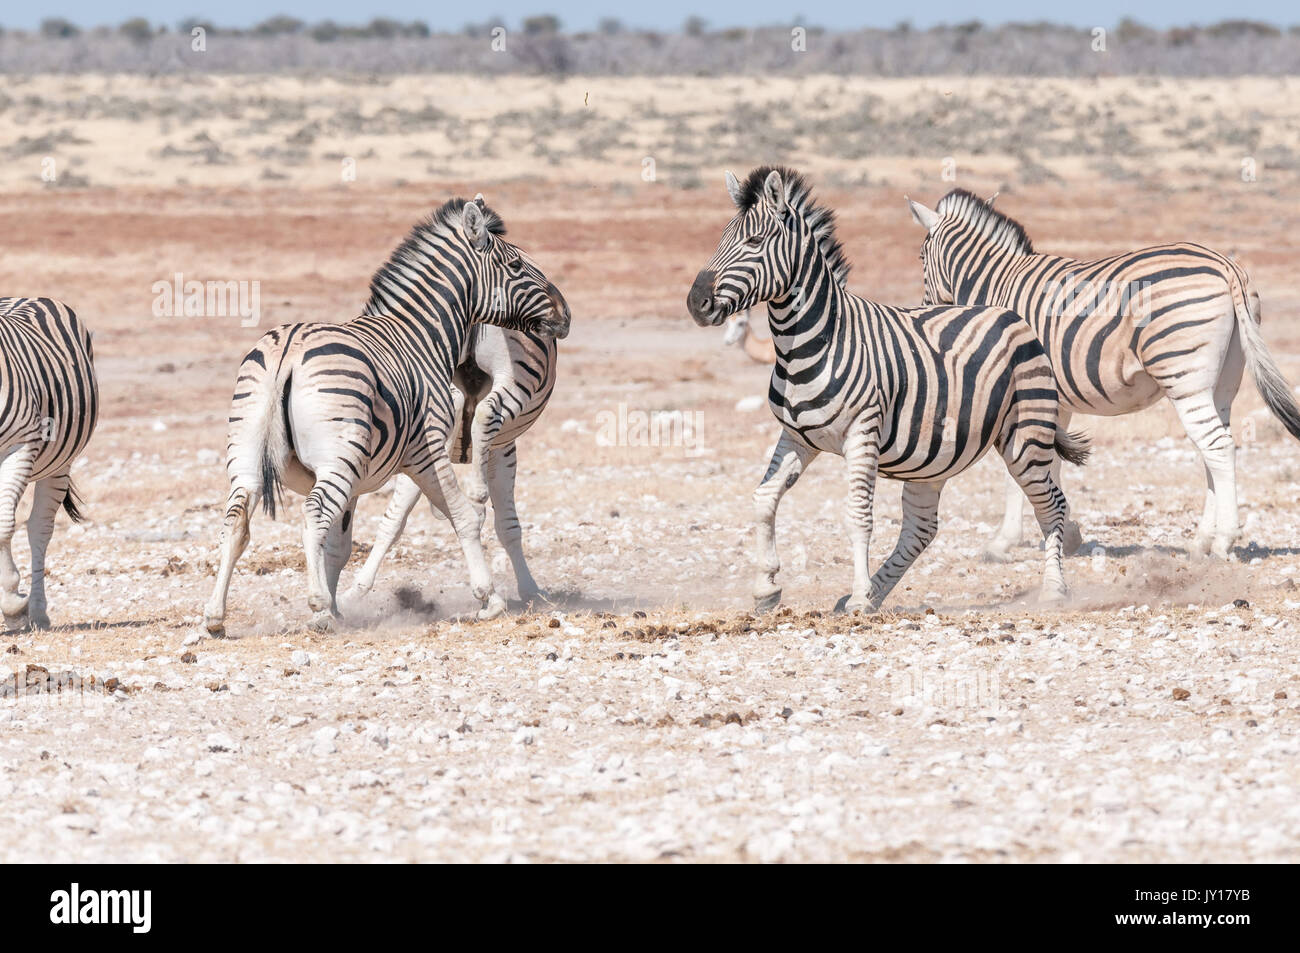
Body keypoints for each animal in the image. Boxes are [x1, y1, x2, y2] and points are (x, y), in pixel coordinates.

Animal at [0, 293, 97, 629]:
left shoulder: (20, 446)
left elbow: (4, 524)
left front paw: (11, 603)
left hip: (60, 464)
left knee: (39, 528)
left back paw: (37, 613)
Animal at [343, 319, 556, 603]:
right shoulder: (503, 448)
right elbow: (509, 525)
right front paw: (529, 588)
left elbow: (394, 519)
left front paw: (357, 588)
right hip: (517, 373)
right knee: (482, 410)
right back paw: (476, 497)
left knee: (457, 403)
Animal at [686, 167, 1092, 613]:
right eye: (722, 237)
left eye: (754, 242)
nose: (696, 302)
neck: (813, 342)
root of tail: (1010, 314)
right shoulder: (797, 437)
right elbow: (764, 499)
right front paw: (767, 587)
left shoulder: (862, 432)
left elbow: (858, 515)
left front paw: (860, 595)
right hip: (934, 456)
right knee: (920, 529)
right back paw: (877, 591)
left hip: (1025, 436)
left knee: (1051, 505)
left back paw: (1054, 589)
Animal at [904, 188, 1300, 556]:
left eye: (921, 257)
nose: (927, 309)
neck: (996, 283)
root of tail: (1224, 265)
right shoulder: (1054, 399)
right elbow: (1050, 466)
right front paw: (1064, 532)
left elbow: (1020, 468)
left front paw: (1006, 541)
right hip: (1223, 383)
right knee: (1214, 449)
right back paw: (1201, 540)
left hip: (1183, 373)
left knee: (1217, 446)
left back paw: (1223, 541)